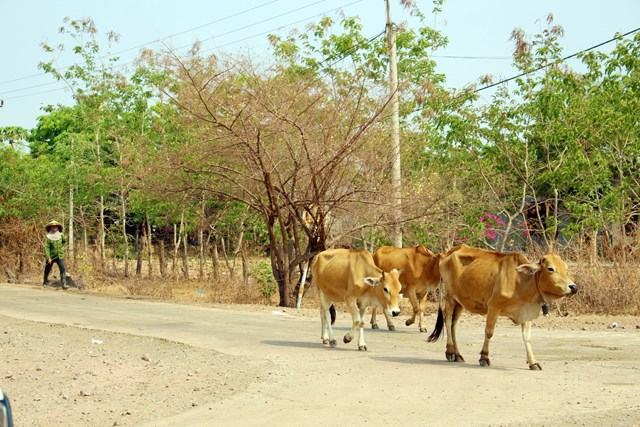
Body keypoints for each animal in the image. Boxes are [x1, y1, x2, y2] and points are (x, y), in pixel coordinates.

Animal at [428, 246, 576, 370]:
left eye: (566, 268)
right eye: (550, 268)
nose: (573, 287)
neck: (520, 281)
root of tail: (450, 251)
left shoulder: (526, 312)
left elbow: (526, 337)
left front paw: (533, 362)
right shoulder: (493, 307)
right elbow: (489, 332)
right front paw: (484, 357)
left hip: (460, 302)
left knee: (454, 324)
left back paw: (458, 354)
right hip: (450, 297)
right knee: (448, 319)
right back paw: (450, 351)